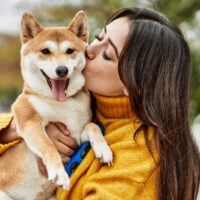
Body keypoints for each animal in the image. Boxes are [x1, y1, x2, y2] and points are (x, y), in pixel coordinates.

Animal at [0, 11, 112, 200]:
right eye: (45, 51)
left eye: (70, 51)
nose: (62, 70)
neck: (62, 103)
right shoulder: (28, 120)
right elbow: (48, 145)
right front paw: (59, 173)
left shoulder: (76, 138)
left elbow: (93, 126)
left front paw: (103, 148)